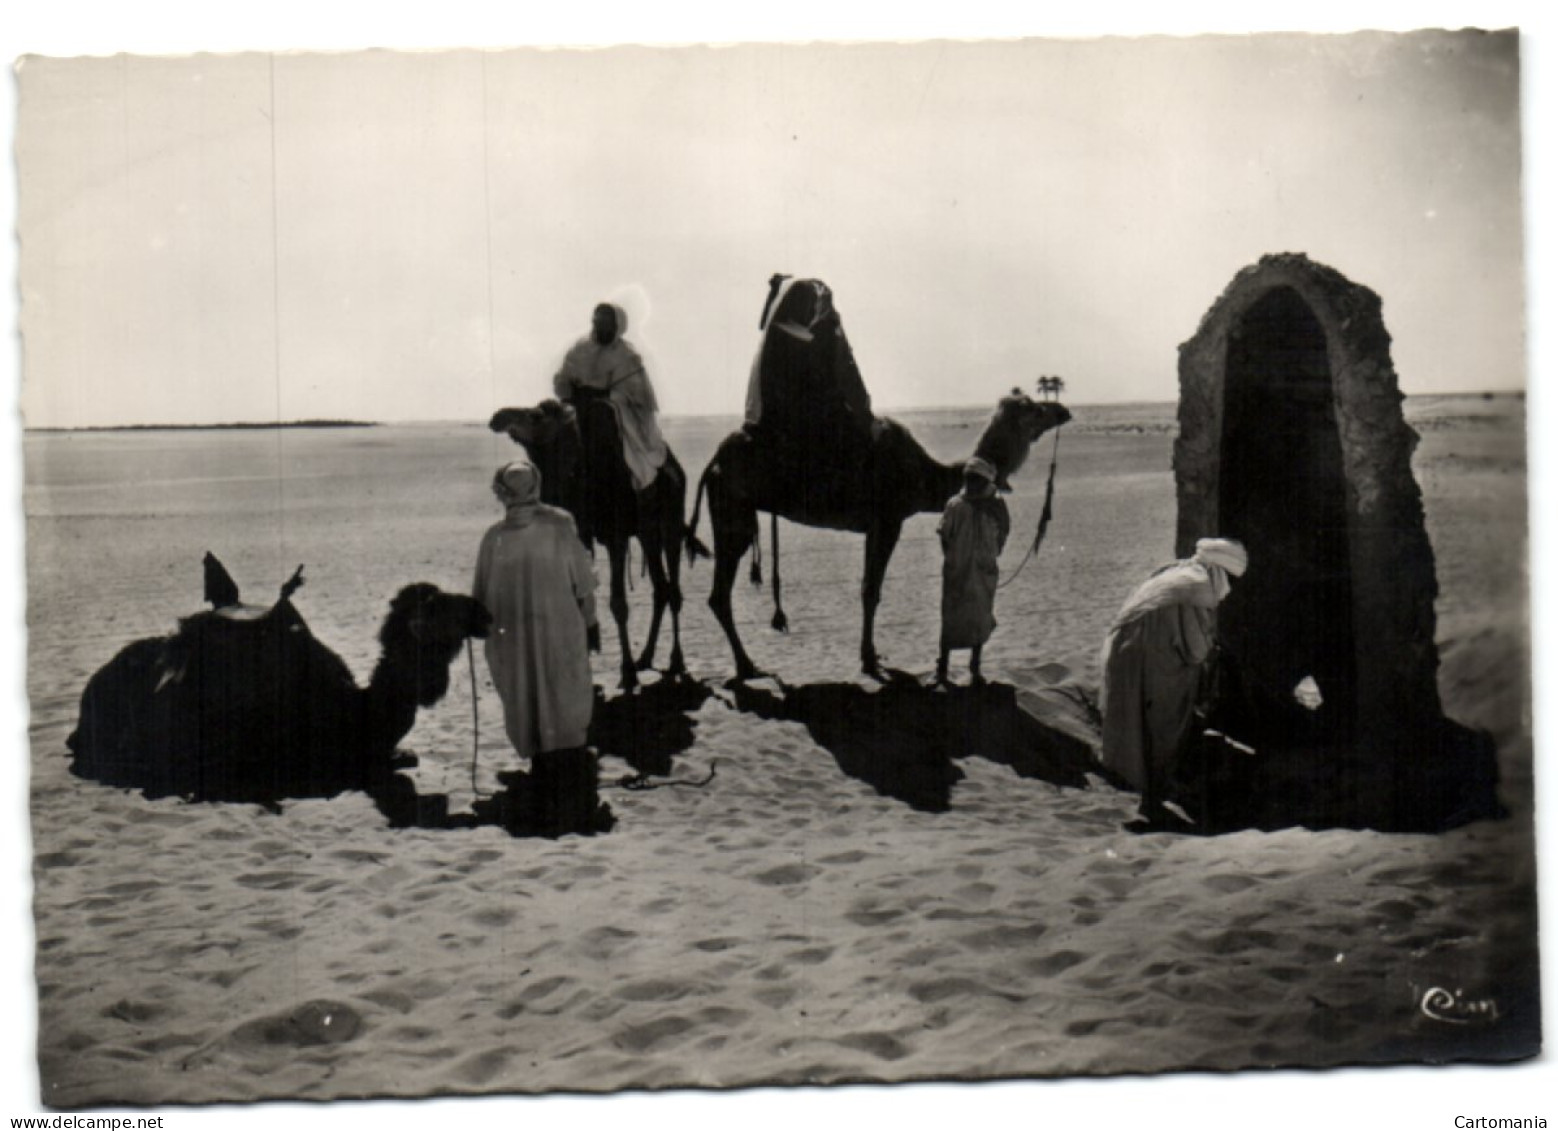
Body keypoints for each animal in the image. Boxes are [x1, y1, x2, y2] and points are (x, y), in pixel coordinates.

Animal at [489, 394, 710, 694]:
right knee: (661, 588)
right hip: (646, 533)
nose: (498, 417)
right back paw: (646, 657)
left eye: (536, 415)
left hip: (670, 522)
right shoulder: (579, 535)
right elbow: (580, 595)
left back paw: (675, 661)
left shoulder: (615, 538)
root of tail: (675, 469)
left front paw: (627, 673)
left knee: (673, 589)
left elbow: (618, 603)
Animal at [691, 394, 1071, 682]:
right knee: (719, 594)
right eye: (1035, 408)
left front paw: (870, 655)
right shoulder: (889, 521)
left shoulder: (874, 526)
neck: (925, 474)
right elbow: (872, 591)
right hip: (733, 512)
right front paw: (870, 661)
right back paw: (746, 665)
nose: (1063, 410)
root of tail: (713, 461)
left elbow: (866, 589)